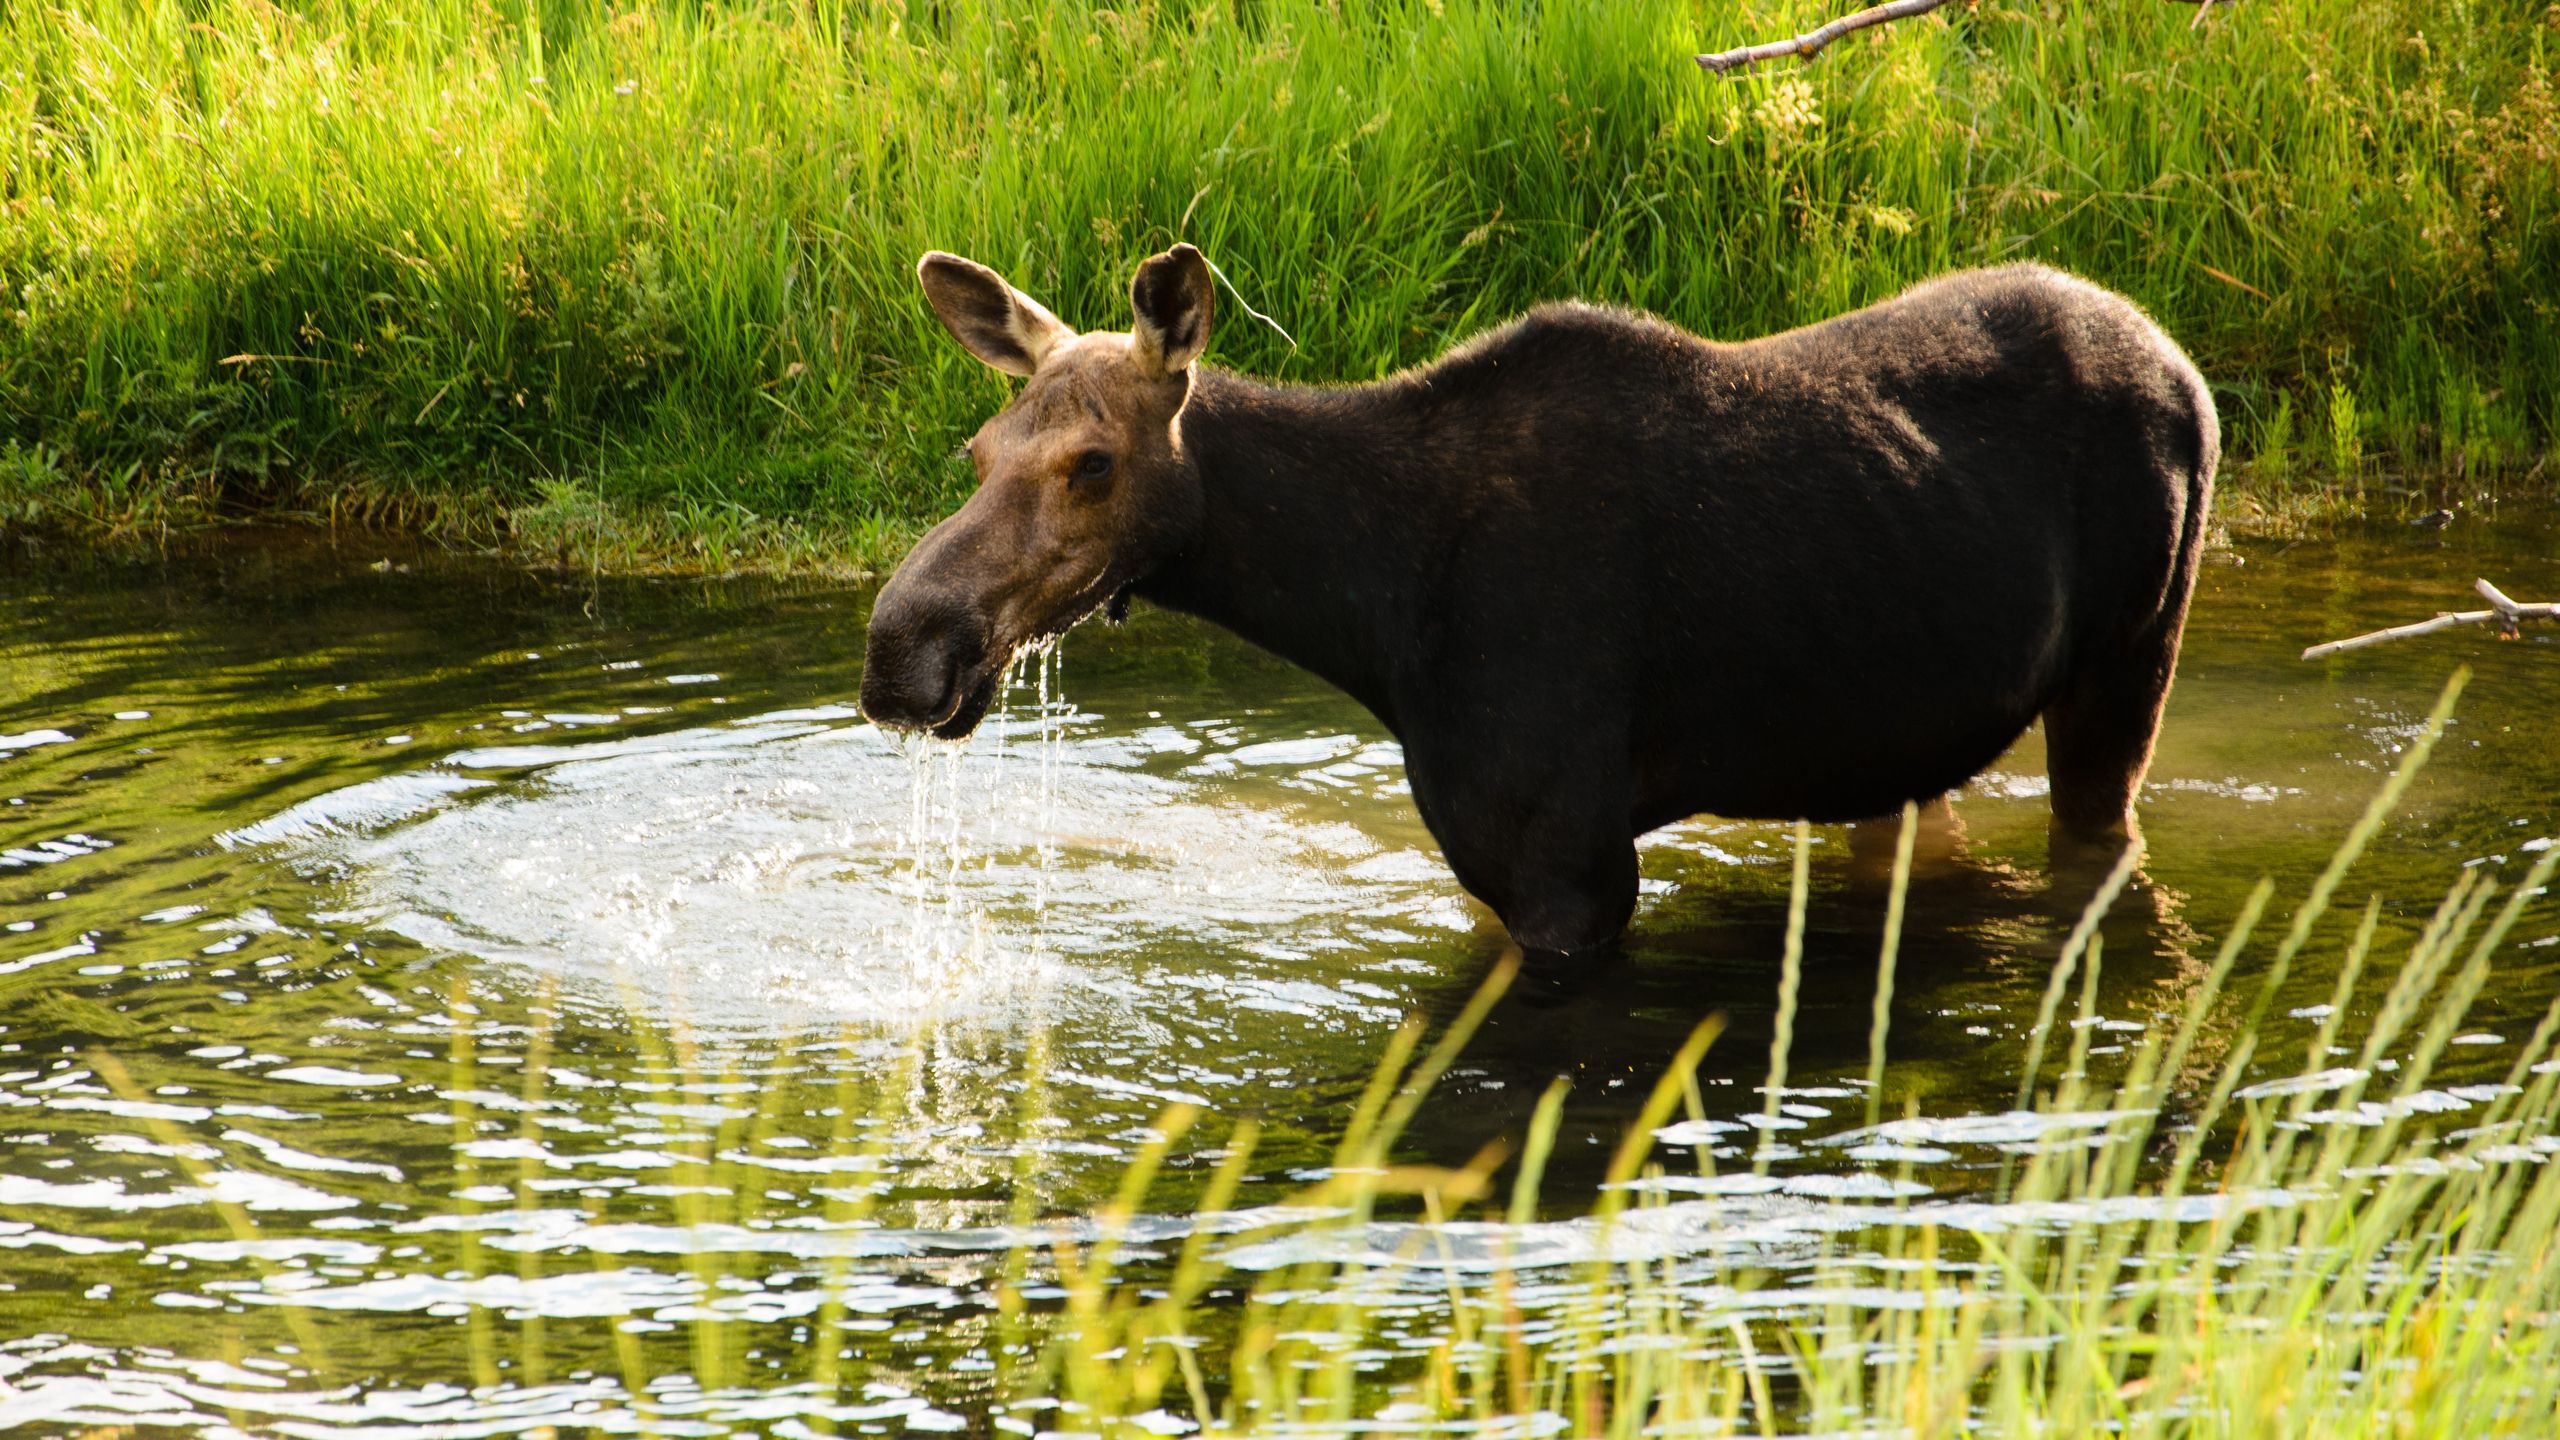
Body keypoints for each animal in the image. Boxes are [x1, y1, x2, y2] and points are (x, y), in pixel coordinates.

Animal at [861, 243, 2218, 982]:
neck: (1363, 604)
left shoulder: (1569, 861)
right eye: (979, 451)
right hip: (1900, 739)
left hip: (2130, 661)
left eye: (1091, 463)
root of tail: (2182, 360)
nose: (899, 649)